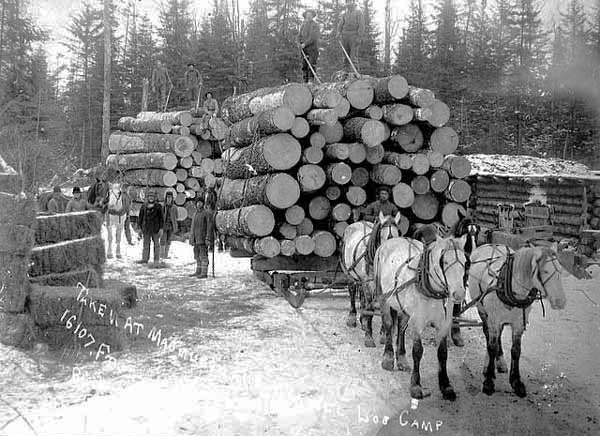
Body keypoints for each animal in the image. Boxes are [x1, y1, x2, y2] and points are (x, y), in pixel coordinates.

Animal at [342, 211, 404, 348]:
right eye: (383, 237)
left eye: (398, 236)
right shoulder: (369, 284)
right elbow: (371, 307)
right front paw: (369, 337)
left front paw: (383, 334)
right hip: (351, 274)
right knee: (353, 292)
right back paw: (352, 318)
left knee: (362, 296)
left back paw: (363, 320)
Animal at [376, 233, 468, 400]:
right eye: (444, 262)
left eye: (465, 262)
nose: (459, 294)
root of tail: (392, 240)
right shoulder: (417, 323)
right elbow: (418, 352)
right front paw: (416, 386)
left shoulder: (443, 324)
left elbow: (442, 353)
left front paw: (446, 386)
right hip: (383, 298)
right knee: (388, 325)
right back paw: (388, 358)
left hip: (404, 309)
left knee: (401, 328)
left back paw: (401, 359)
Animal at [468, 244, 568, 396]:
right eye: (545, 271)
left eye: (560, 271)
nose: (560, 301)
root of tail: (487, 244)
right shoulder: (493, 320)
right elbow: (491, 347)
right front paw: (488, 381)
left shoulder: (518, 323)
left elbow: (516, 350)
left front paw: (516, 382)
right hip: (483, 311)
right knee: (488, 335)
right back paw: (488, 365)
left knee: (498, 337)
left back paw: (500, 362)